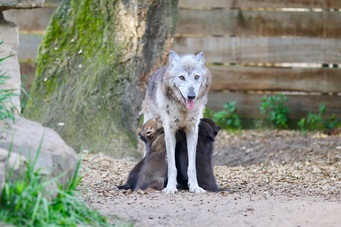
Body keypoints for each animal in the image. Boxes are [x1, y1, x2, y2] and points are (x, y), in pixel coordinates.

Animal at [141, 50, 210, 193]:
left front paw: (195, 187)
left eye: (196, 77)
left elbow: (192, 167)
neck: (183, 109)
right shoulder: (170, 132)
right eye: (182, 77)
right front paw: (170, 187)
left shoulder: (192, 131)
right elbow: (172, 166)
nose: (191, 96)